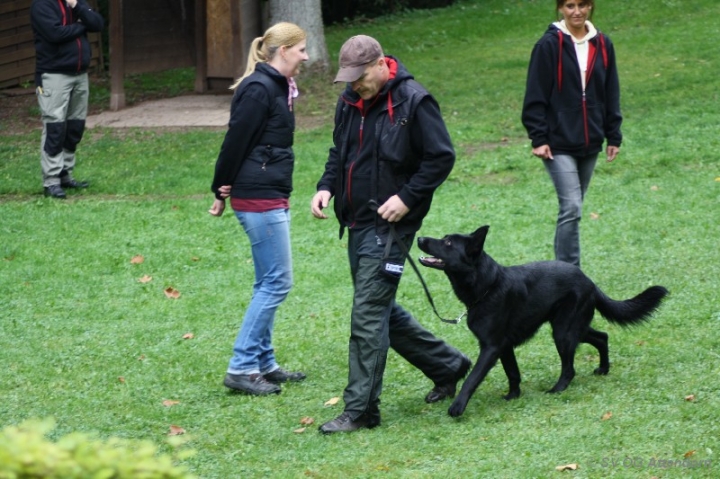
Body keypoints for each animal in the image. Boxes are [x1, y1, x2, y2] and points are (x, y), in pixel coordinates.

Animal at [416, 227, 668, 418]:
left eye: (448, 242)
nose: (419, 238)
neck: (487, 285)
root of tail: (589, 281)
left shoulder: (491, 348)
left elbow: (471, 379)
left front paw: (457, 407)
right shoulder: (504, 346)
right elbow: (513, 373)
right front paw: (513, 396)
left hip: (563, 332)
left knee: (570, 369)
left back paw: (557, 389)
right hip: (572, 327)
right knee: (602, 337)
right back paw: (603, 369)